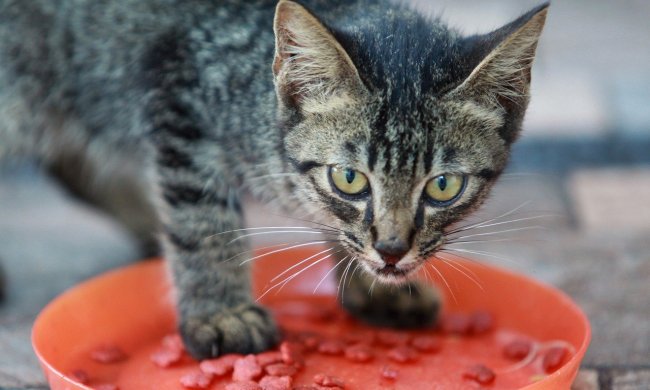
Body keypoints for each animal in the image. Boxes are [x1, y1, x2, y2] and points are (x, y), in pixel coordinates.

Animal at [0, 0, 548, 360]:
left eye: (443, 187)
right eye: (349, 178)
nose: (392, 251)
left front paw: (371, 286)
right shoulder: (183, 101)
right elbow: (203, 222)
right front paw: (220, 312)